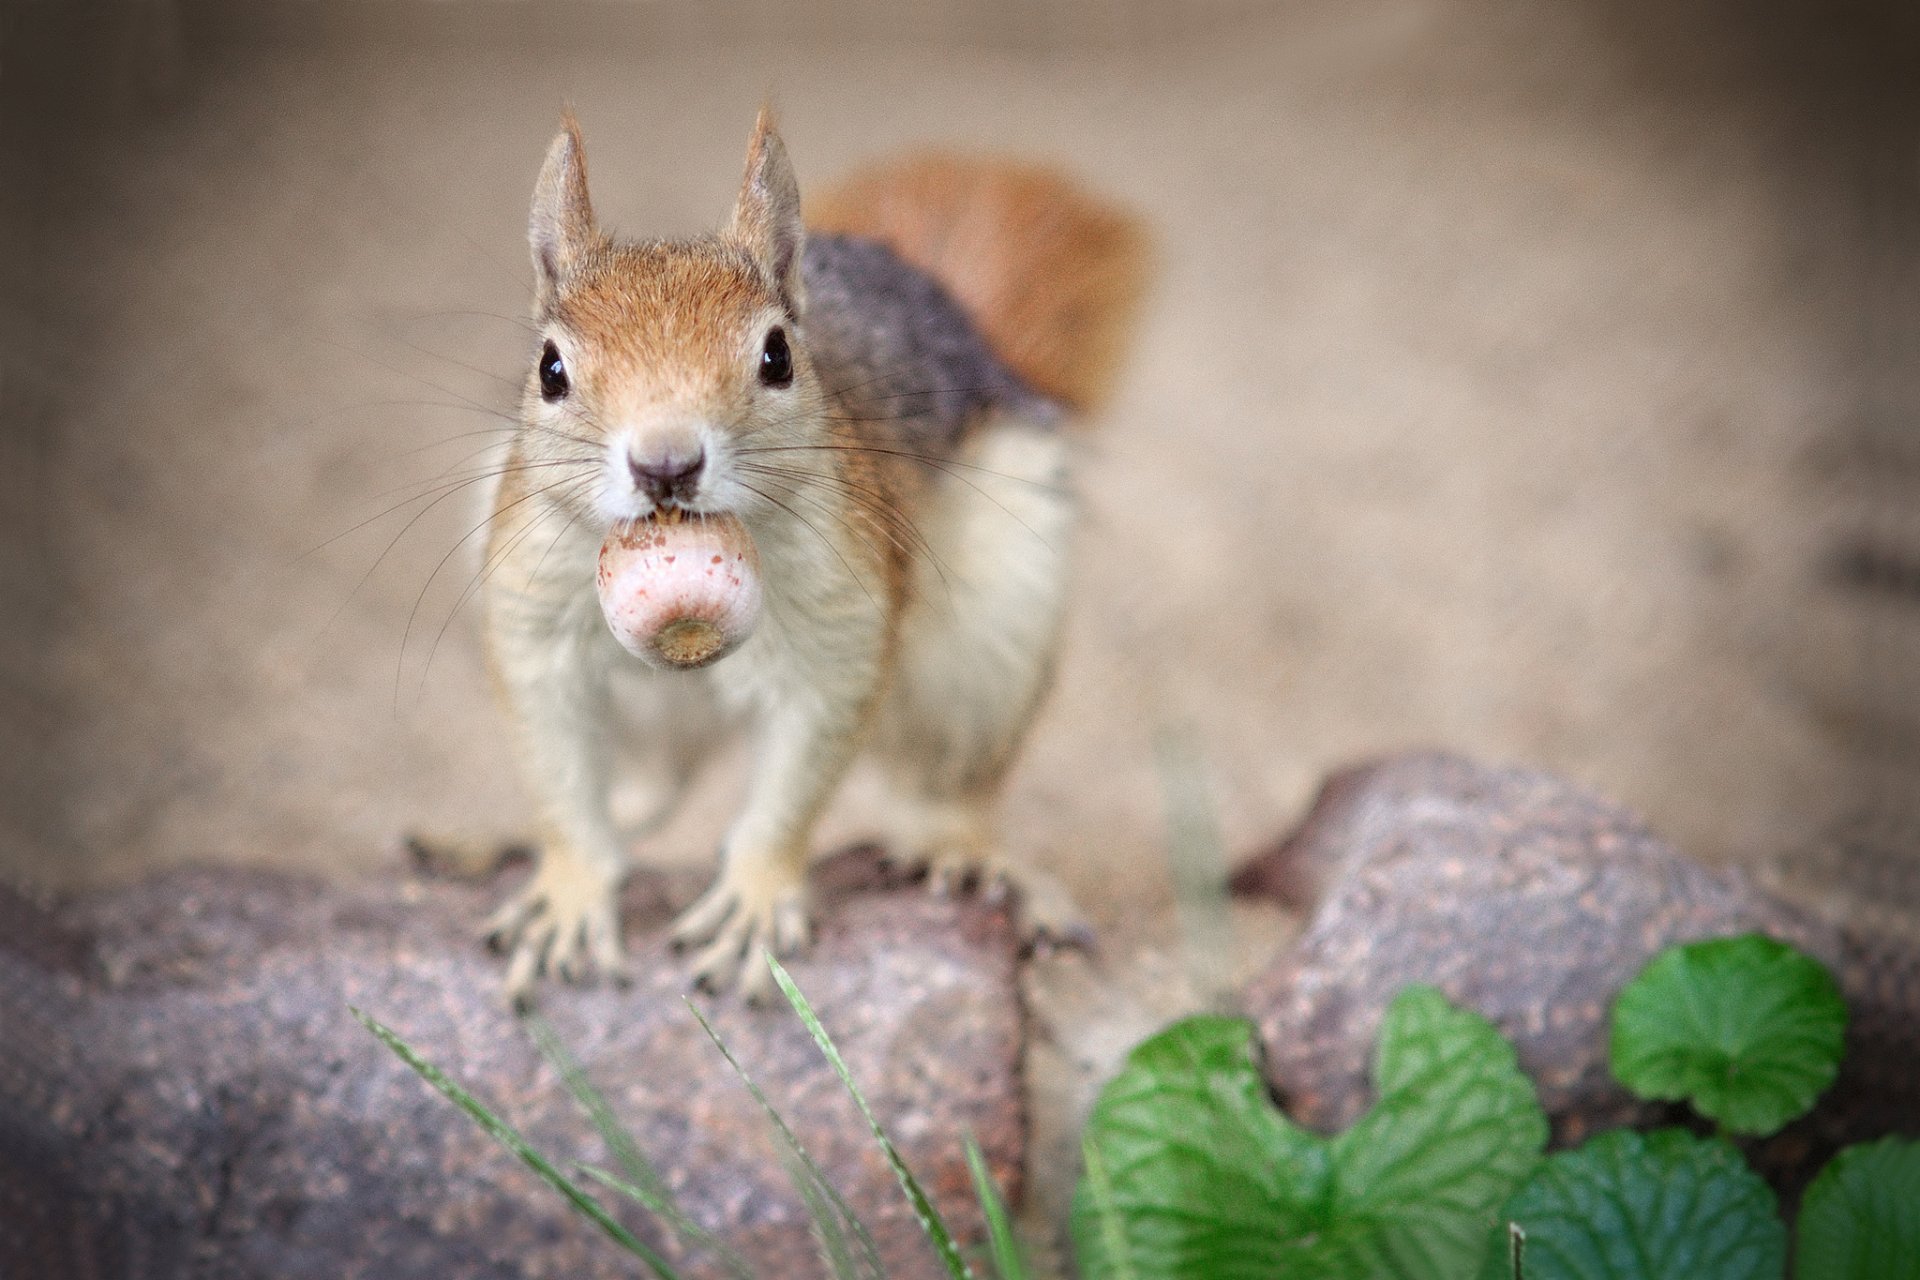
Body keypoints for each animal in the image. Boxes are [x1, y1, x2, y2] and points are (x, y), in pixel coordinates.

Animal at [474, 110, 1144, 1005]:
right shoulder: (533, 610)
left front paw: (755, 899)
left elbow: (804, 762)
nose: (665, 464)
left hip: (992, 641)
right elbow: (554, 761)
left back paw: (970, 856)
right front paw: (568, 894)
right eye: (550, 368)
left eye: (777, 357)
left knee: (946, 788)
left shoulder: (842, 613)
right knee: (656, 782)